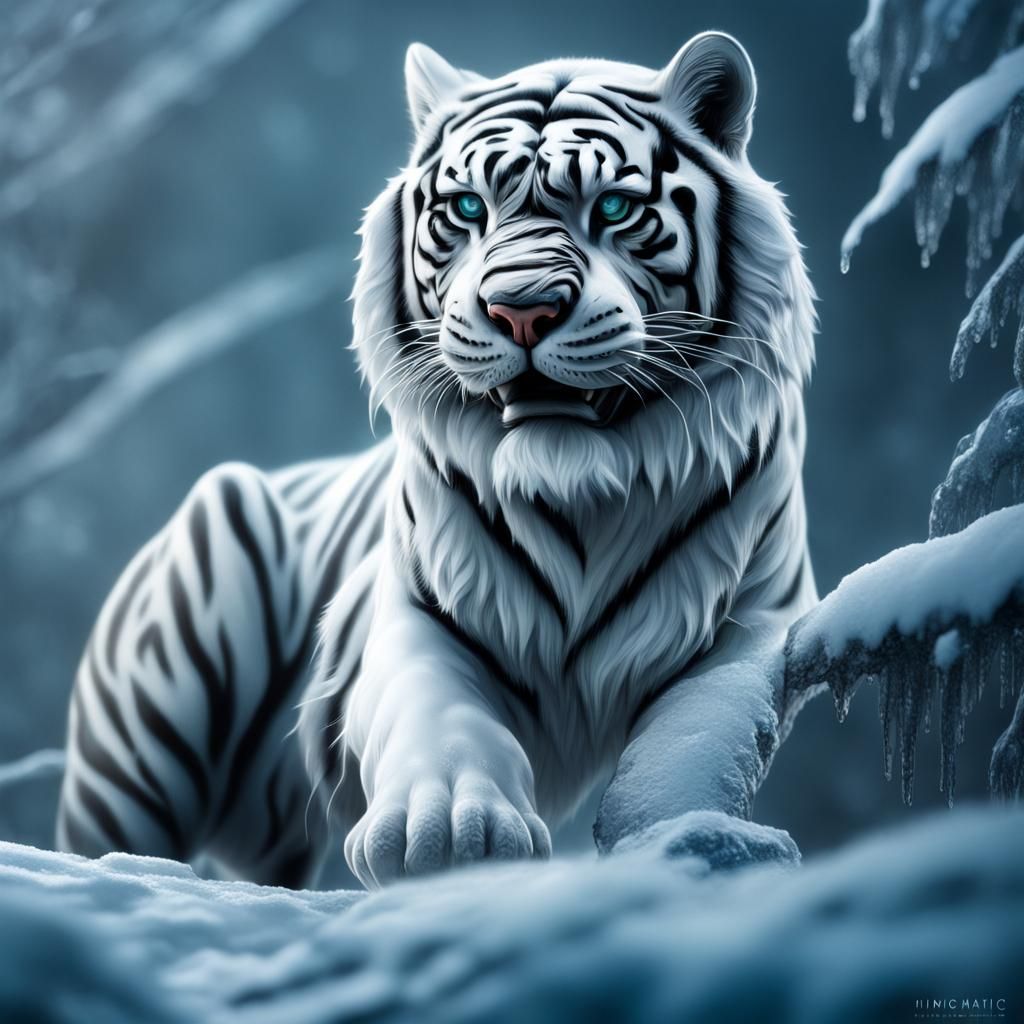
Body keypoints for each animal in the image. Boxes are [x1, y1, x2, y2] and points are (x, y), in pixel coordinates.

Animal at [57, 32, 817, 889]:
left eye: (614, 209)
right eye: (469, 209)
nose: (522, 310)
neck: (580, 492)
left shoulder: (753, 626)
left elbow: (693, 739)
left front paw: (694, 837)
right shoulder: (415, 610)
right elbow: (438, 711)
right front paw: (451, 832)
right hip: (150, 731)